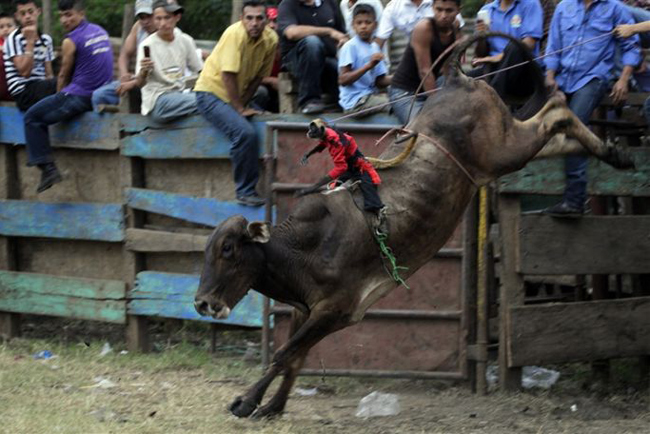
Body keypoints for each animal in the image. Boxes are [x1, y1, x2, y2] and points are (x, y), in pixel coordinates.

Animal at [192, 32, 632, 418]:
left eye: (228, 250)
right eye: (206, 253)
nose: (202, 304)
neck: (304, 247)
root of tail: (455, 78)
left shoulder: (336, 309)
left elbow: (285, 354)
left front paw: (246, 401)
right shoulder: (306, 310)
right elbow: (295, 357)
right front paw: (273, 405)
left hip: (503, 149)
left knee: (555, 111)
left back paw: (609, 147)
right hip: (504, 153)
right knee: (556, 131)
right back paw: (614, 153)